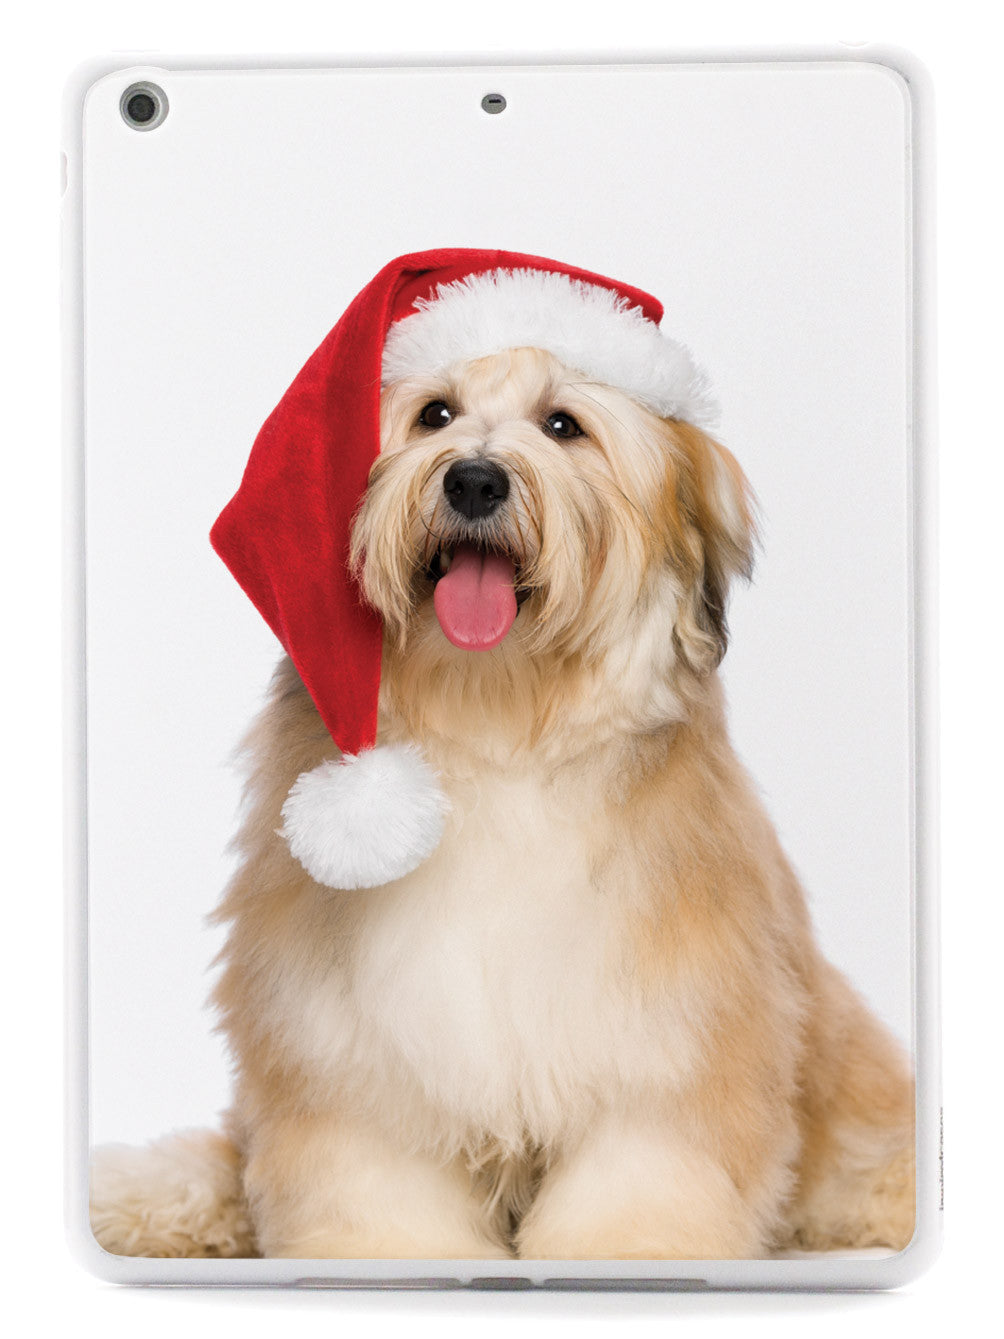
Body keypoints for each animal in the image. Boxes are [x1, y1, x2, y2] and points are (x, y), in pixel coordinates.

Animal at [90, 333, 915, 1261]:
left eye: (563, 425)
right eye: (434, 414)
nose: (475, 481)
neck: (494, 734)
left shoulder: (670, 1034)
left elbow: (645, 1168)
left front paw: (628, 1250)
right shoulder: (346, 1043)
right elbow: (373, 1171)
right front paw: (389, 1252)